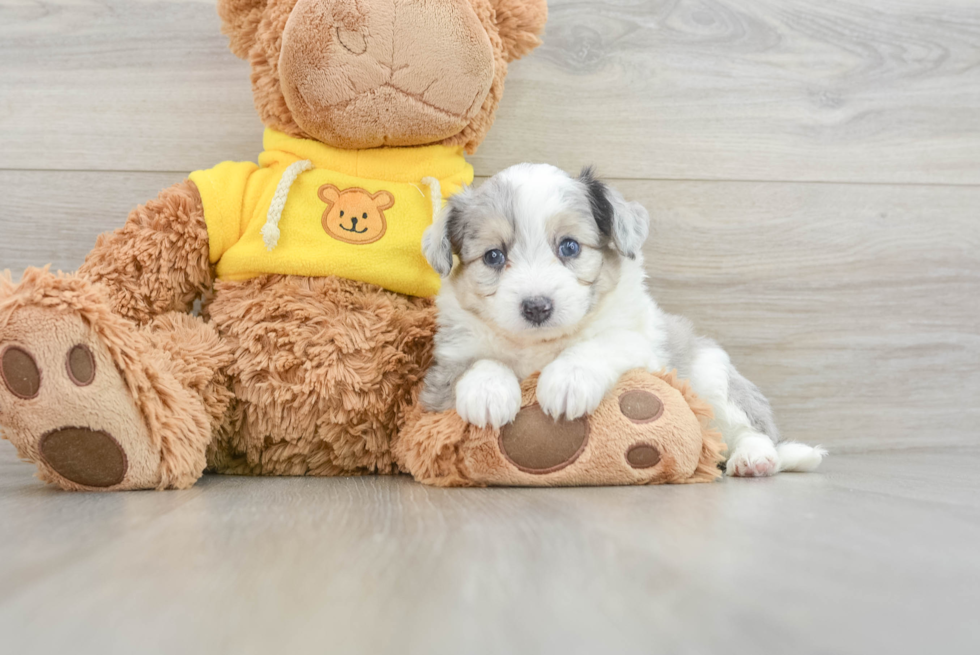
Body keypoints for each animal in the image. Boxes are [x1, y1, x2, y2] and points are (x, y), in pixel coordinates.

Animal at [422, 164, 828, 476]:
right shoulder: (445, 366)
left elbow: (598, 344)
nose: (536, 307)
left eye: (569, 246)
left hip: (711, 377)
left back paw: (754, 458)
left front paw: (568, 381)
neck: (541, 345)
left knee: (746, 429)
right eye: (493, 256)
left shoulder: (639, 343)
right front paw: (488, 391)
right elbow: (478, 362)